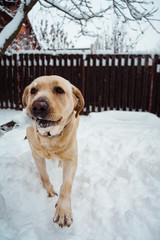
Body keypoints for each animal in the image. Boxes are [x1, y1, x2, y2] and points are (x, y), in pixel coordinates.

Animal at [23, 76, 84, 228]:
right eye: (33, 90)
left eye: (59, 90)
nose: (38, 105)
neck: (50, 137)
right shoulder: (37, 155)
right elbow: (43, 175)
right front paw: (49, 191)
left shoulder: (72, 159)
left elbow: (66, 185)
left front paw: (63, 211)